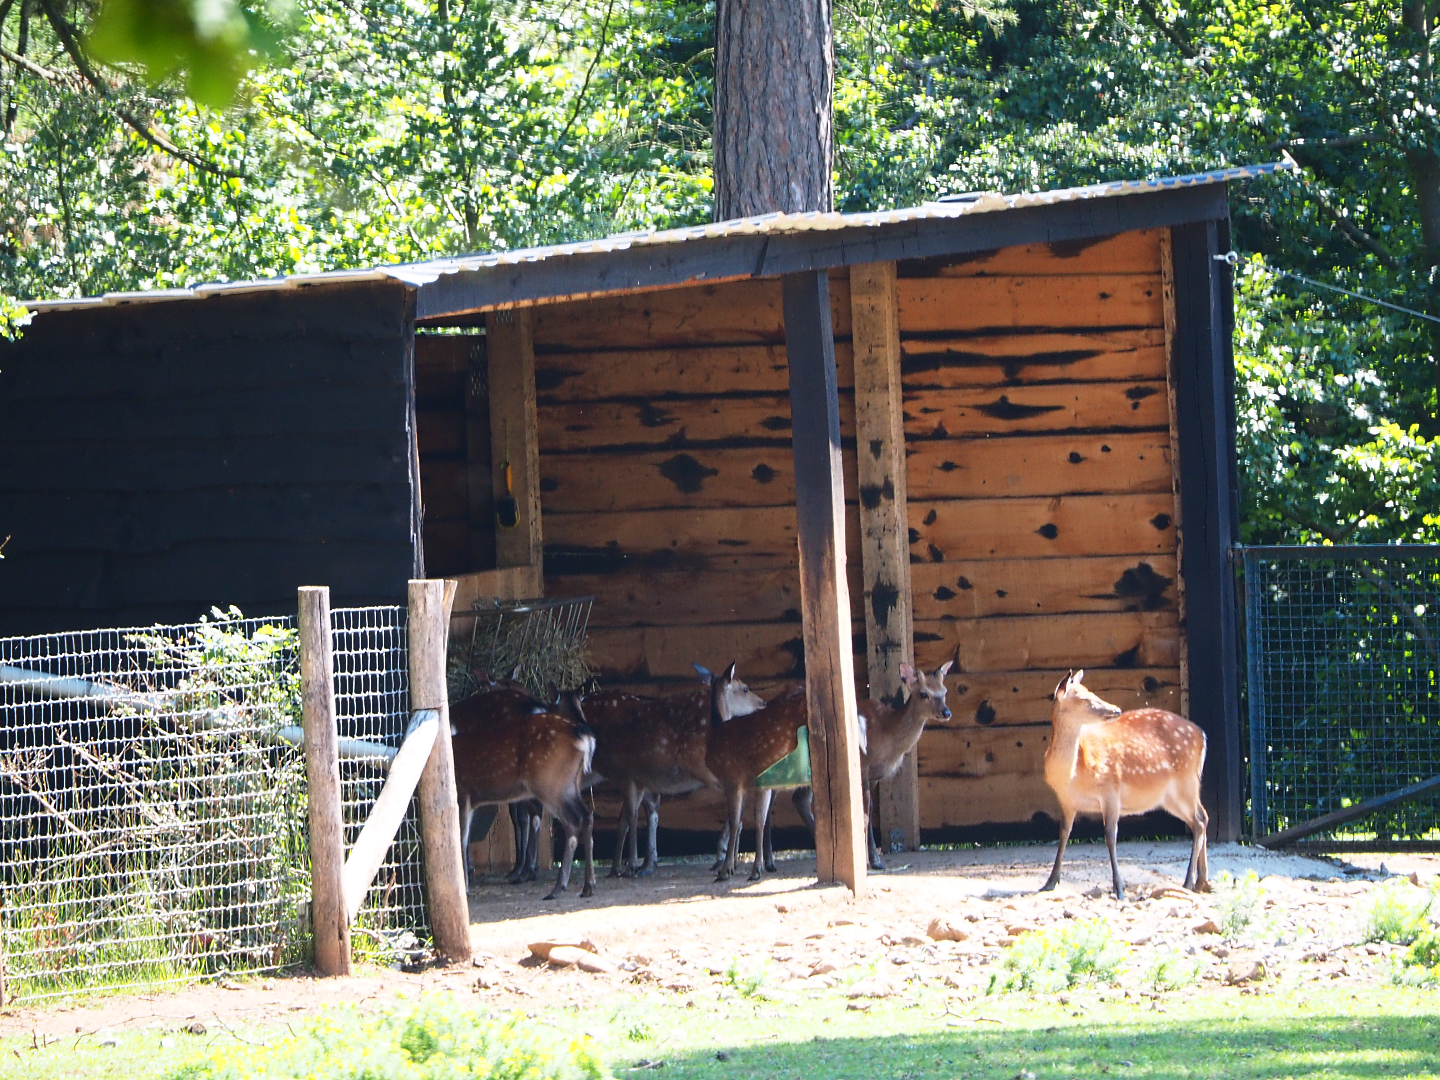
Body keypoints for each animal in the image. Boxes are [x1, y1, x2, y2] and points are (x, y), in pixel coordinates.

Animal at [449, 688, 597, 900]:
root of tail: (584, 737)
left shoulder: (462, 793)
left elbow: (461, 838)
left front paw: (465, 888)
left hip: (550, 782)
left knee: (573, 820)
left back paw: (557, 887)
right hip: (571, 784)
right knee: (587, 816)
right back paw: (587, 886)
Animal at [1042, 669, 1209, 901]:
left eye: (1092, 692)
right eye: (1084, 698)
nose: (1116, 709)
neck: (1072, 776)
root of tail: (1202, 735)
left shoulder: (1111, 789)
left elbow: (1110, 836)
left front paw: (1119, 888)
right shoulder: (1066, 800)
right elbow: (1063, 834)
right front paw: (1050, 882)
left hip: (1186, 782)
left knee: (1200, 820)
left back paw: (1189, 881)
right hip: (1170, 796)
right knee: (1201, 818)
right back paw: (1202, 881)